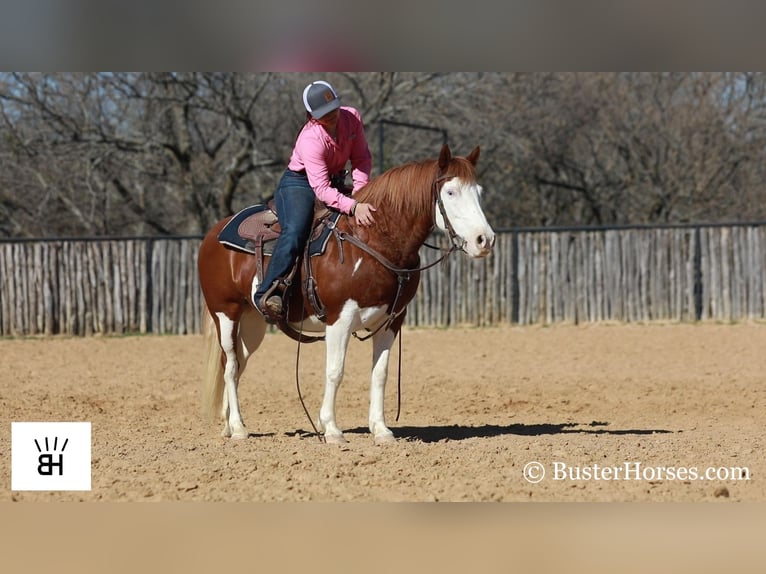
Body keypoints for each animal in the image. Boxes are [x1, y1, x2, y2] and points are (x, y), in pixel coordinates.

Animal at [198, 145, 498, 446]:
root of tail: (213, 234)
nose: (485, 240)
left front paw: (381, 429)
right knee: (231, 365)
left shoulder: (391, 321)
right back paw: (238, 428)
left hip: (253, 322)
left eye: (479, 191)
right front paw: (331, 428)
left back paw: (228, 424)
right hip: (226, 312)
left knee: (238, 363)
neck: (373, 240)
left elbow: (380, 373)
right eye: (451, 192)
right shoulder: (339, 319)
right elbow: (335, 371)